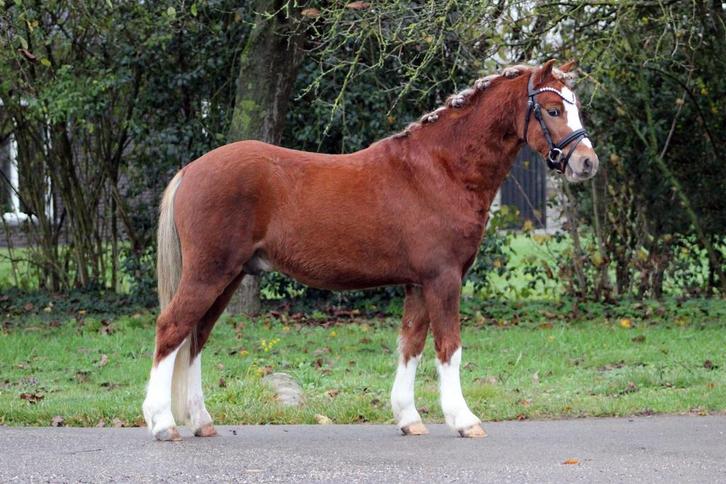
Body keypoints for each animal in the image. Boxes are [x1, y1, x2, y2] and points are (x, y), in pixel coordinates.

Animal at [142, 59, 599, 441]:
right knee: (172, 328)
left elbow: (411, 345)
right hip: (209, 273)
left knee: (196, 337)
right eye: (553, 110)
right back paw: (163, 423)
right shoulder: (444, 279)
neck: (441, 169)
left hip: (229, 277)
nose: (587, 163)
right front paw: (464, 419)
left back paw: (201, 421)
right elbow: (448, 347)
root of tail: (191, 170)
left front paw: (409, 418)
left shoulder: (418, 284)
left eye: (576, 107)